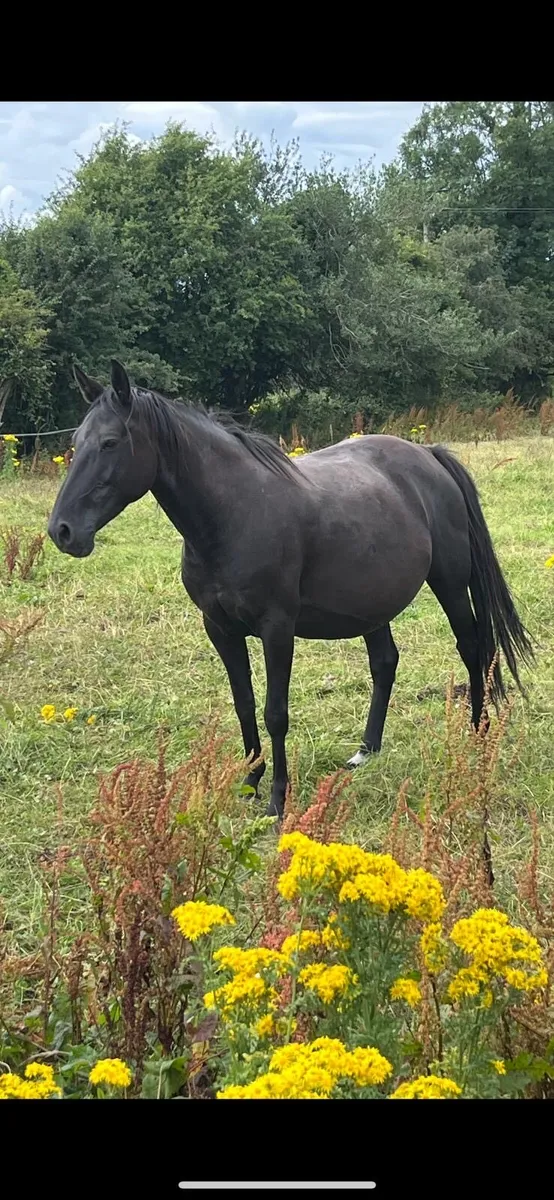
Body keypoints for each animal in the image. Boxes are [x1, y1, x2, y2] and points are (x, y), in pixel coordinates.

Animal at [47, 360, 533, 819]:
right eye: (76, 440)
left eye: (110, 442)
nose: (62, 531)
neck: (234, 513)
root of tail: (429, 456)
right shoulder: (219, 629)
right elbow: (244, 704)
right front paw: (249, 781)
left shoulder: (277, 629)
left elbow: (275, 712)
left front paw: (277, 799)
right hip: (371, 603)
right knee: (385, 663)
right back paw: (365, 751)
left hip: (450, 584)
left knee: (472, 648)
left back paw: (477, 734)